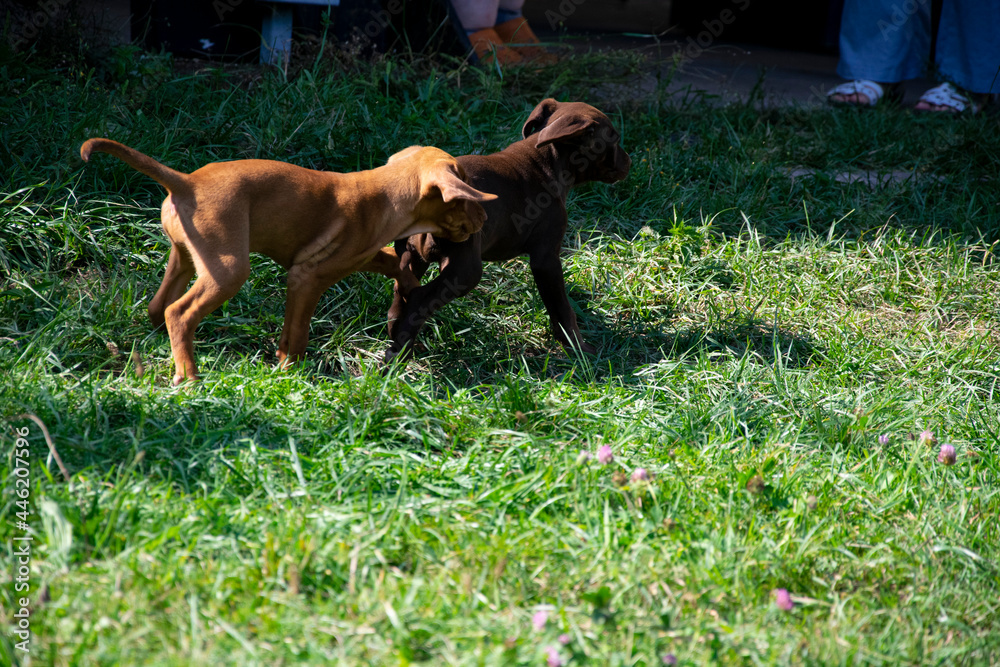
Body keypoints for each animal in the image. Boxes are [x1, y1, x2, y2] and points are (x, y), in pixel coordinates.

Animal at [82, 138, 496, 384]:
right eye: (468, 198)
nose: (485, 219)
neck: (384, 195)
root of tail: (186, 182)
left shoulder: (354, 258)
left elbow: (395, 263)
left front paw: (411, 290)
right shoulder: (307, 277)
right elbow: (298, 332)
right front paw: (290, 372)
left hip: (185, 257)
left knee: (158, 307)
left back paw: (160, 345)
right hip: (228, 270)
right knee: (178, 313)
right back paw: (189, 376)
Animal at [384, 99, 628, 362]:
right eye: (615, 139)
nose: (629, 161)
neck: (547, 159)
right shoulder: (546, 260)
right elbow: (562, 309)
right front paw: (579, 349)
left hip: (414, 257)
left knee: (400, 297)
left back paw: (396, 344)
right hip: (465, 269)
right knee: (418, 299)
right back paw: (400, 355)